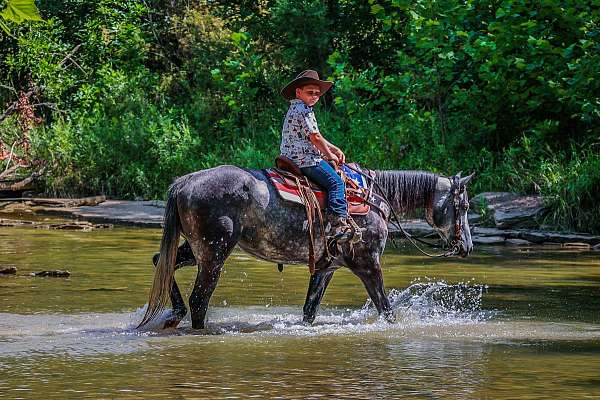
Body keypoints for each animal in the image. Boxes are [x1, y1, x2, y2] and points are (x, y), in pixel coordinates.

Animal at [137, 164, 474, 330]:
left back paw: (174, 313)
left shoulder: (326, 267)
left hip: (196, 251)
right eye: (464, 205)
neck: (376, 200)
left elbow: (309, 311)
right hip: (214, 253)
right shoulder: (368, 264)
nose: (467, 246)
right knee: (199, 300)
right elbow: (386, 310)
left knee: (160, 262)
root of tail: (184, 183)